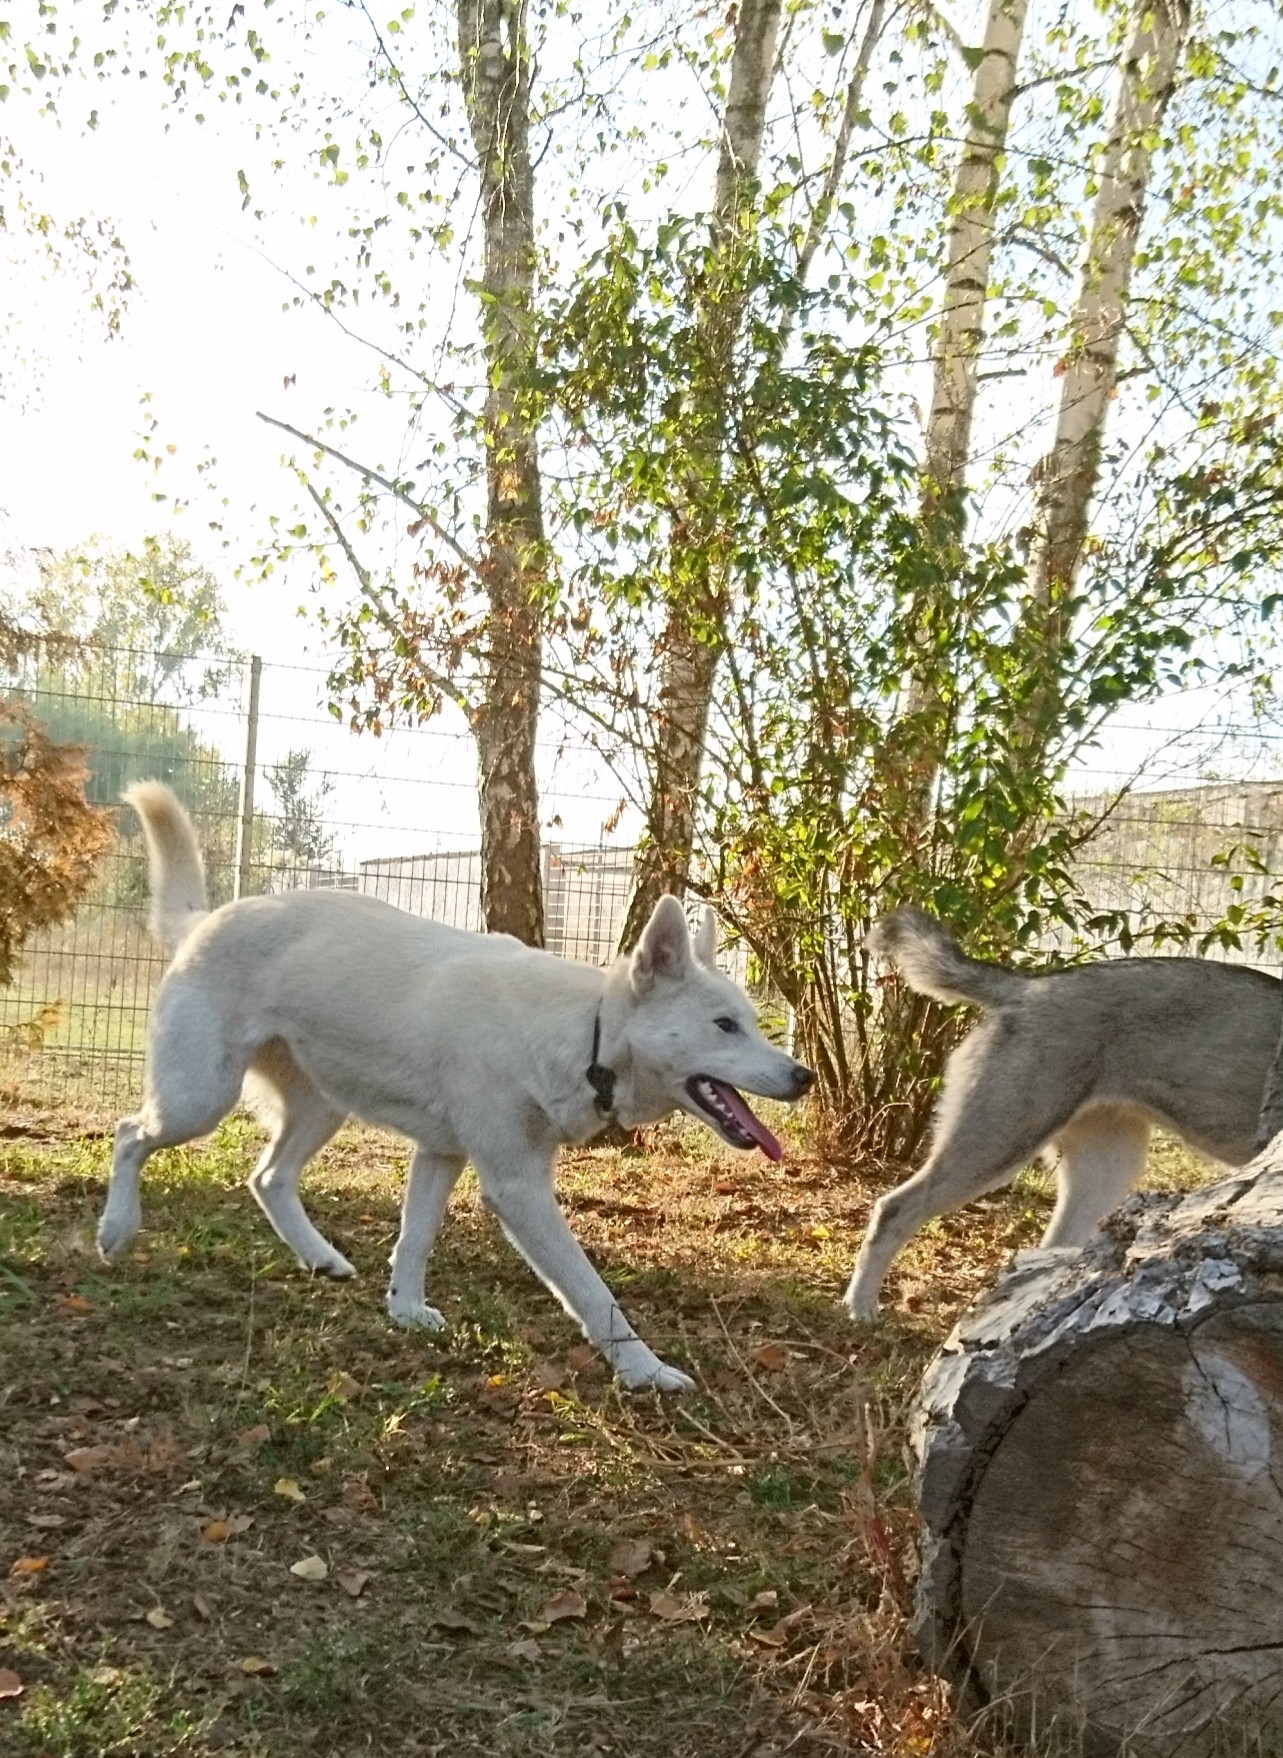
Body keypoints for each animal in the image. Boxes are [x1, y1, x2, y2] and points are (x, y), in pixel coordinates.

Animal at [97, 783, 813, 1391]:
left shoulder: (440, 1155)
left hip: (320, 1109)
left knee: (268, 1178)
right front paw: (646, 1372)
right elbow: (592, 1292)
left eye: (751, 1023)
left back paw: (321, 1257)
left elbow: (414, 1239)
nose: (803, 1076)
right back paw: (115, 1230)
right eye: (724, 1026)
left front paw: (406, 1311)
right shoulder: (517, 1187)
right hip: (198, 1099)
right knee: (130, 1135)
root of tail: (202, 922)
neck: (587, 1034)